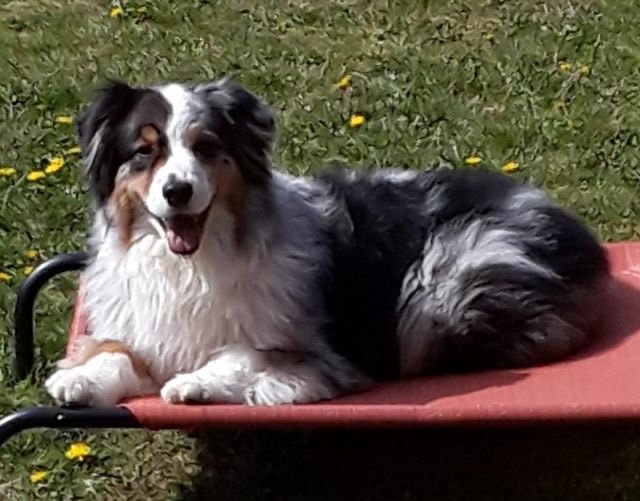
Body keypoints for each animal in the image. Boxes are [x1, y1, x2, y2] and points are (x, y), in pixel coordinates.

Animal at [45, 78, 610, 407]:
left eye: (205, 147)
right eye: (144, 152)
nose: (177, 191)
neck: (191, 263)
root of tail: (585, 238)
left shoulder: (324, 350)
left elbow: (247, 353)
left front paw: (197, 383)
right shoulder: (147, 327)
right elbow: (117, 351)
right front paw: (80, 380)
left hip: (442, 285)